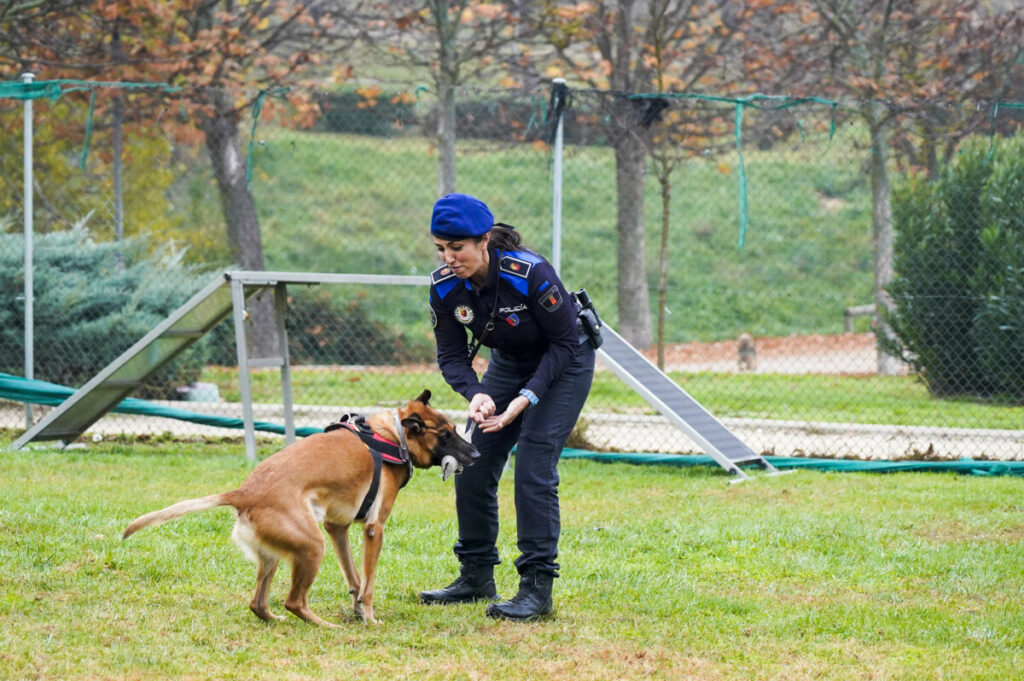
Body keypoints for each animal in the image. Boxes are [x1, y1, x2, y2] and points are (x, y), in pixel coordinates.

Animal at [122, 391, 479, 622]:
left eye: (455, 430)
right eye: (446, 434)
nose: (476, 454)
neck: (391, 436)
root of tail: (244, 492)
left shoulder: (337, 528)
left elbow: (354, 578)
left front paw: (357, 608)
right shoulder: (373, 529)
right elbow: (368, 584)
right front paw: (369, 617)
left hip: (276, 553)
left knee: (258, 603)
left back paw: (276, 619)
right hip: (312, 546)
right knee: (294, 601)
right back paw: (324, 625)